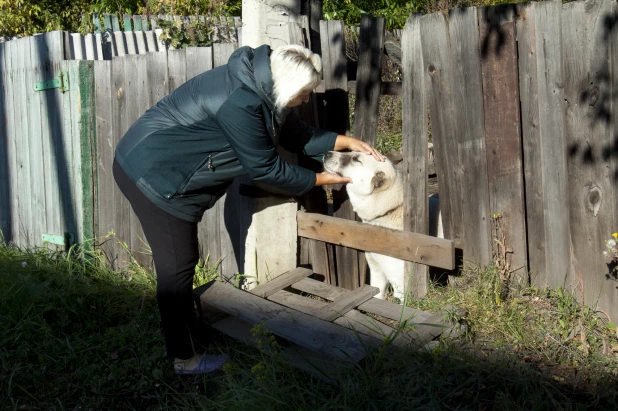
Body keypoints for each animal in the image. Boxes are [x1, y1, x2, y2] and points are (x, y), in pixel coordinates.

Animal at [320, 152, 440, 302]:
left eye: (356, 159)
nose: (326, 153)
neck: (389, 211)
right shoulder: (376, 270)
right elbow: (377, 295)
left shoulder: (401, 285)